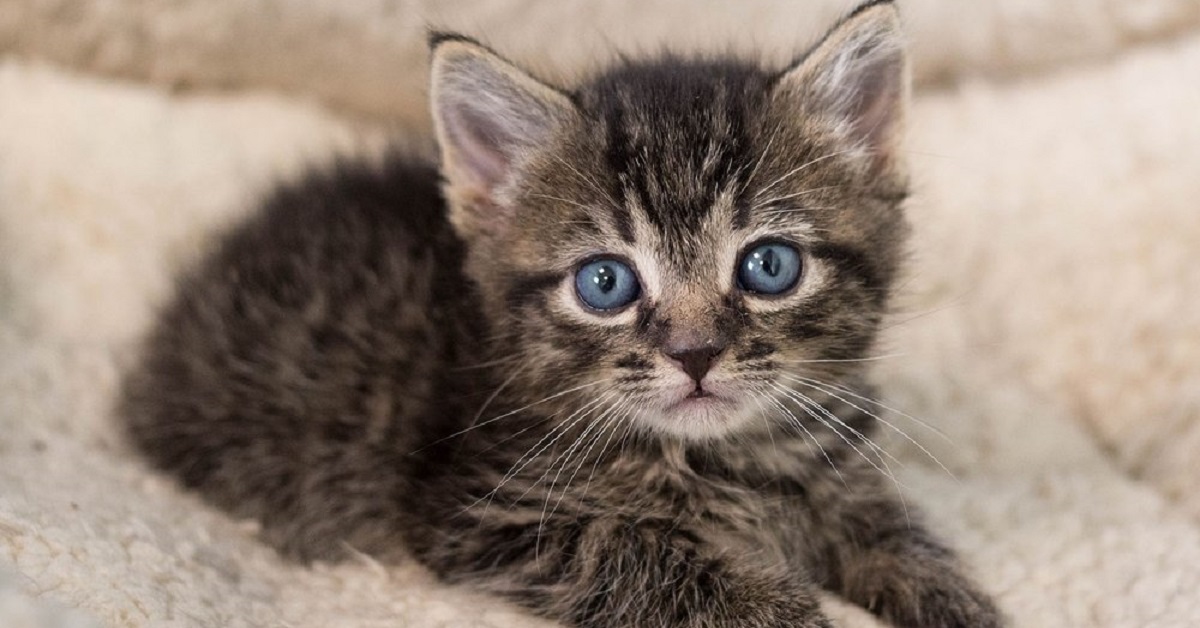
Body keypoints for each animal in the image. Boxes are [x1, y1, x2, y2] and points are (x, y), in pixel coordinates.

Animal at [119, 2, 1003, 624]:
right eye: (605, 283)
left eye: (769, 266)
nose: (694, 354)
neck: (730, 458)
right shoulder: (480, 512)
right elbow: (642, 552)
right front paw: (788, 609)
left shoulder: (841, 466)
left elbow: (892, 532)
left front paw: (952, 595)